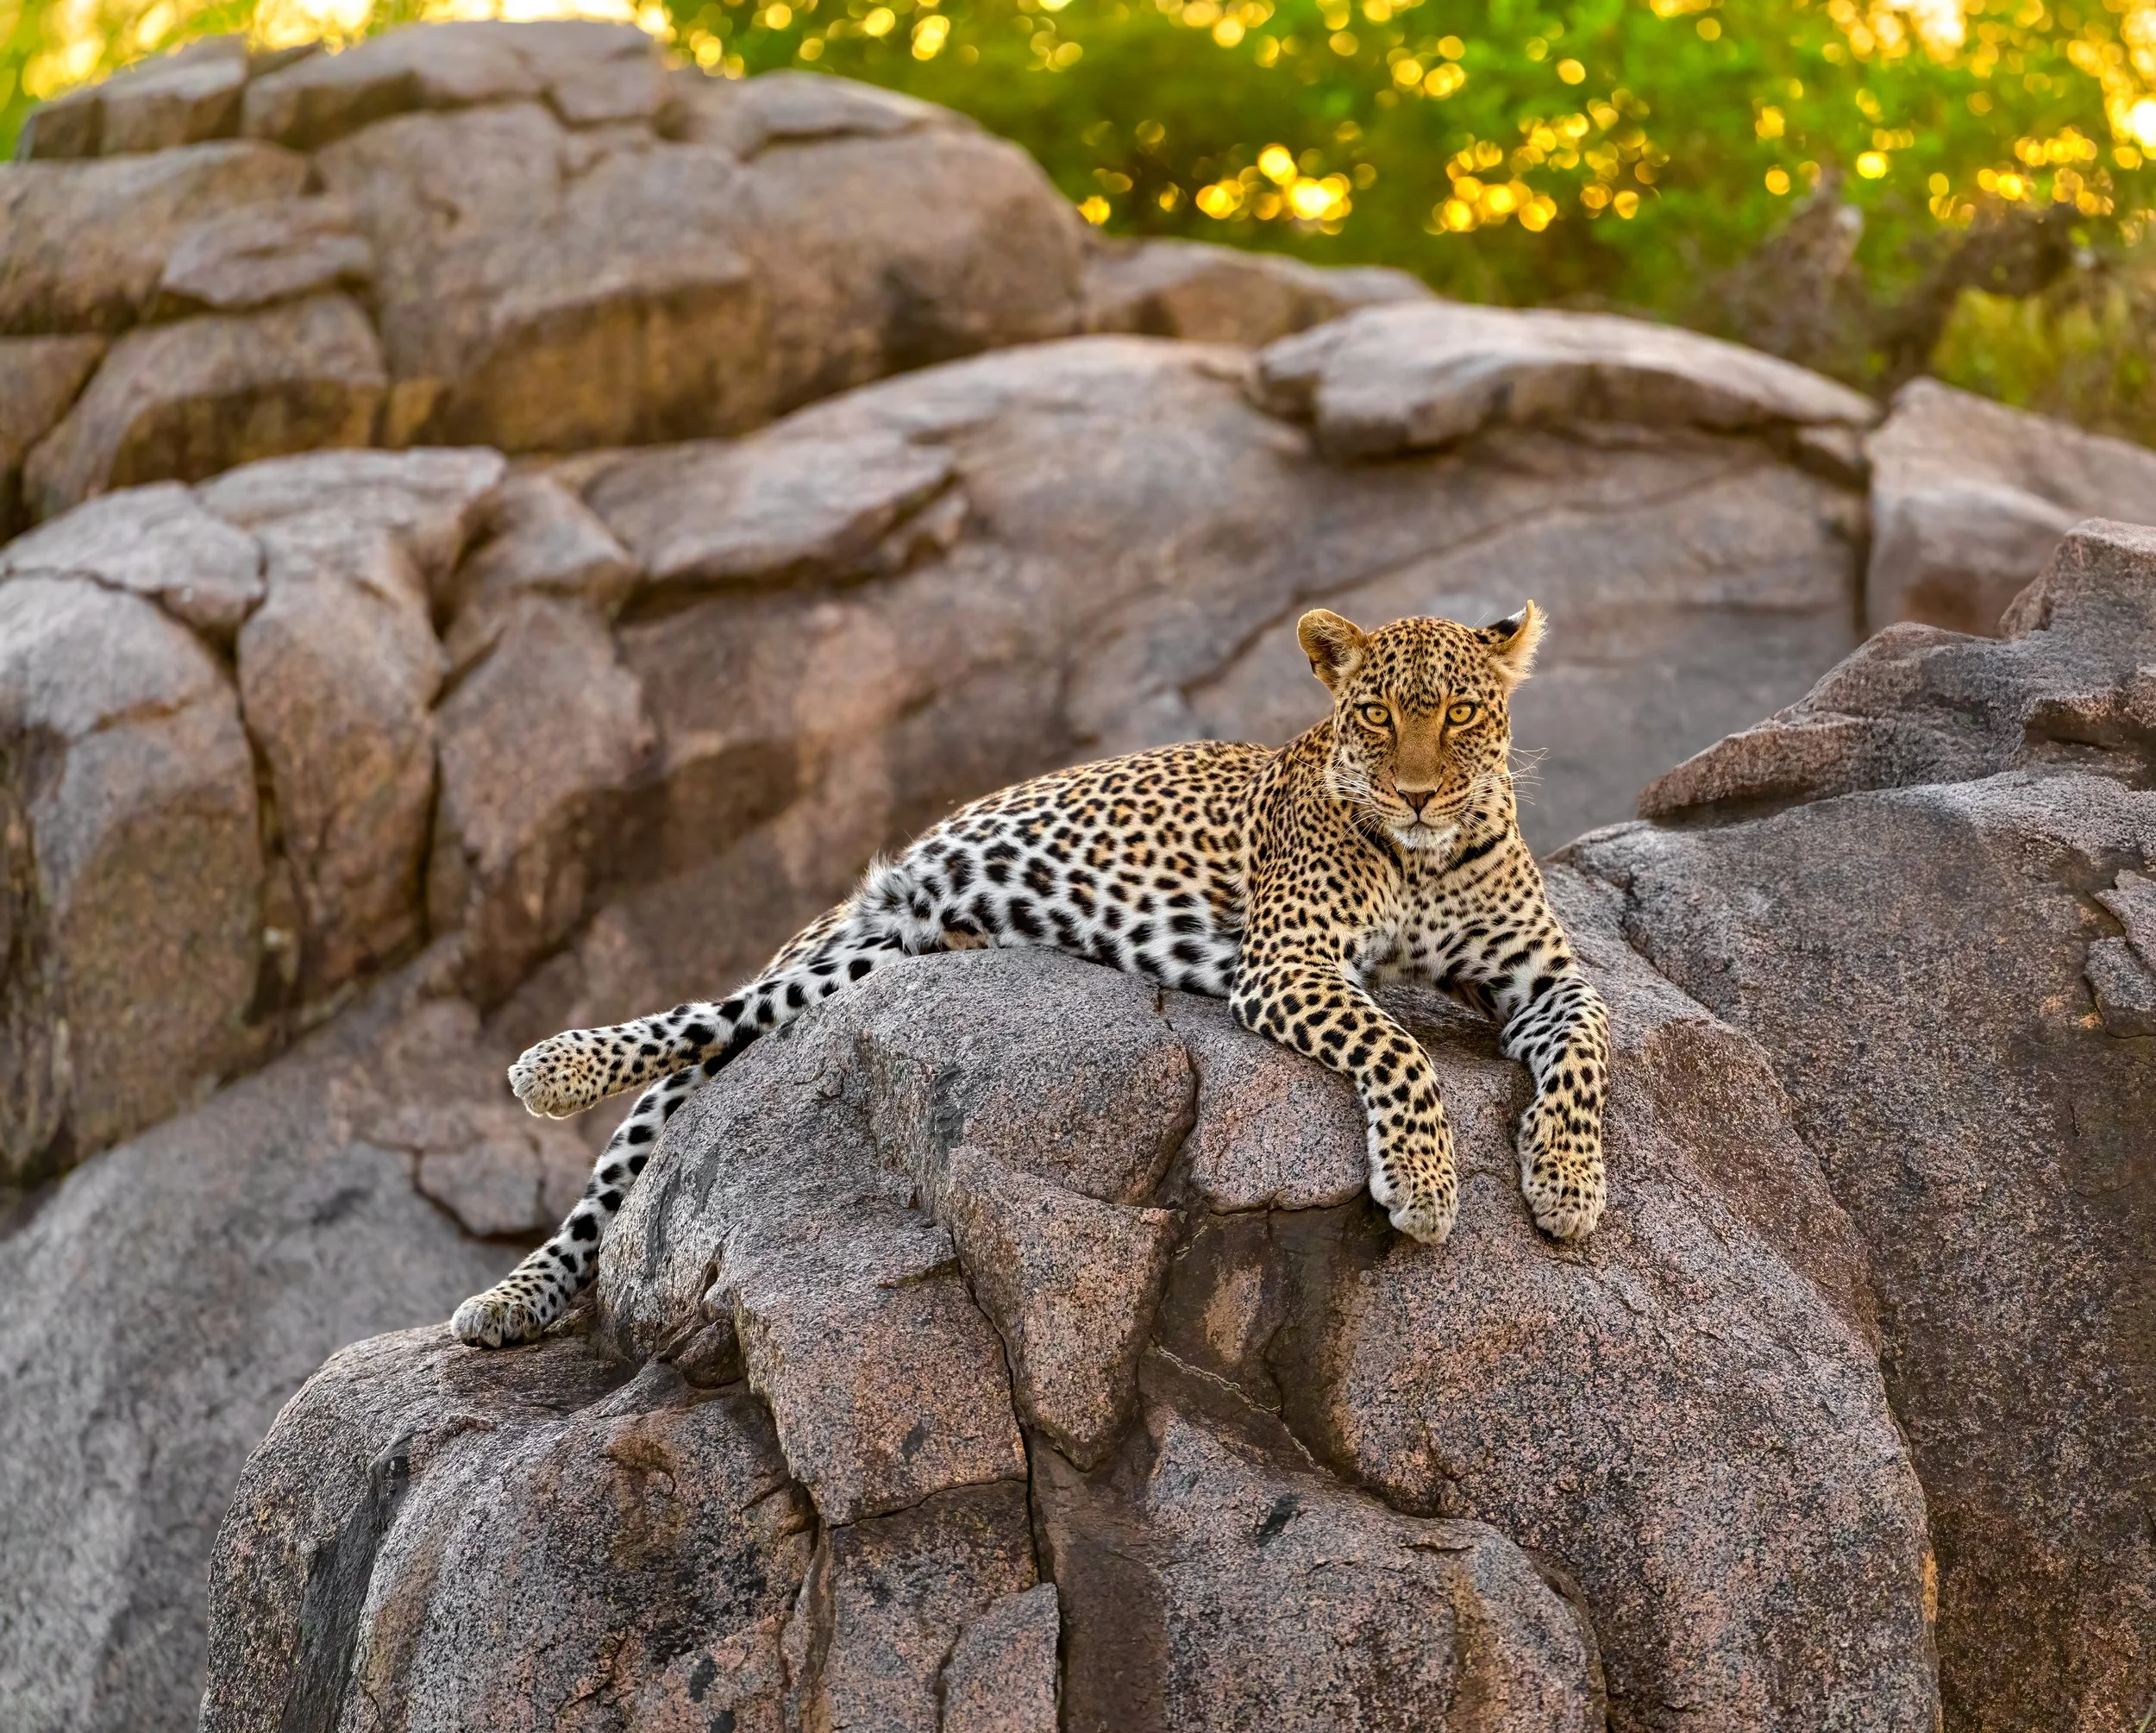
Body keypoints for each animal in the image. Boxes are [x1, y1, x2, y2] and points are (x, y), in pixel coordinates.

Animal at [452, 602, 1611, 1348]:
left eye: (1460, 712)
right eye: (1374, 713)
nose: (1415, 793)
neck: (1422, 859)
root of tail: (898, 880)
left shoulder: (1545, 974)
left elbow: (1591, 1045)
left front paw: (1566, 1183)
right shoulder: (1288, 961)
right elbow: (1401, 1049)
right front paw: (1423, 1182)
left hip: (880, 956)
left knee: (723, 1026)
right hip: (833, 947)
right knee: (682, 1044)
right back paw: (543, 1106)